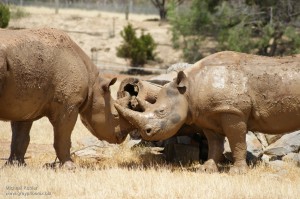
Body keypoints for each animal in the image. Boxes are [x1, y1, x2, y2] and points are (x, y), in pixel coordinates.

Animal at [0, 28, 132, 168]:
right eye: (115, 115)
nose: (122, 137)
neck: (93, 85)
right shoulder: (68, 104)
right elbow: (63, 136)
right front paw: (70, 167)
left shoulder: (25, 104)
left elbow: (20, 136)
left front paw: (16, 165)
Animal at [115, 51, 300, 173]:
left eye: (161, 111)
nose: (145, 132)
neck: (189, 89)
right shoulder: (209, 115)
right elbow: (215, 144)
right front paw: (206, 169)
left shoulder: (233, 112)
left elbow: (237, 142)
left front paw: (237, 172)